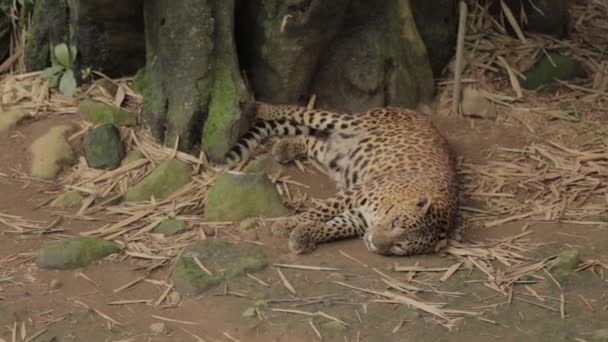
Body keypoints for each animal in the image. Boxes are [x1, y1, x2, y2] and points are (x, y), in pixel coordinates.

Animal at [222, 102, 456, 256]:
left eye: (400, 246)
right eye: (395, 222)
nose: (374, 242)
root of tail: (418, 113)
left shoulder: (359, 218)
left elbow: (333, 227)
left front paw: (303, 235)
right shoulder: (358, 192)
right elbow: (320, 211)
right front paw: (287, 224)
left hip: (337, 153)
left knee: (315, 142)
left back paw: (285, 147)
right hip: (350, 121)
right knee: (305, 113)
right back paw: (260, 108)